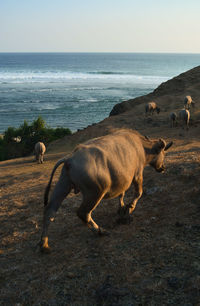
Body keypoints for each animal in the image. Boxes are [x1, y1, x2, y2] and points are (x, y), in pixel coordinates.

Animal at [39, 128, 173, 252]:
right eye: (164, 153)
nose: (163, 167)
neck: (142, 147)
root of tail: (69, 159)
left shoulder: (123, 180)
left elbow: (121, 194)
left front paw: (122, 208)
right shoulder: (137, 174)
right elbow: (138, 193)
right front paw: (130, 207)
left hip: (63, 185)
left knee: (50, 211)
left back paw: (44, 244)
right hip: (95, 193)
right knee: (83, 213)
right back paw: (100, 231)